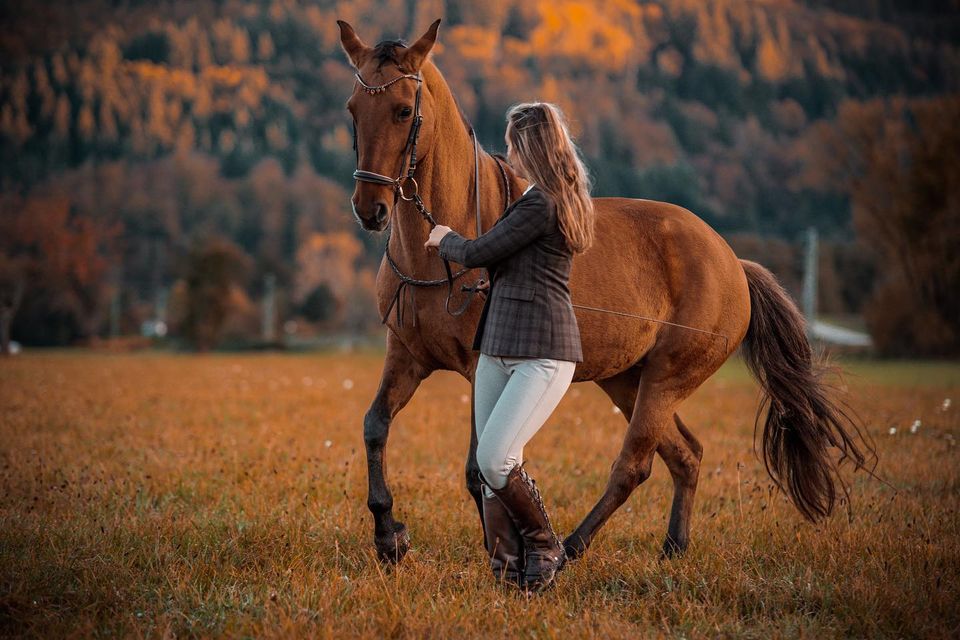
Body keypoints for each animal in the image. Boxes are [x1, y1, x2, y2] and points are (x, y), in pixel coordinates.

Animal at [340, 17, 876, 564]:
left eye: (404, 110)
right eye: (353, 109)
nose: (370, 209)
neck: (440, 251)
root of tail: (731, 262)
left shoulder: (478, 366)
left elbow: (477, 469)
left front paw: (495, 552)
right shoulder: (406, 354)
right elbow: (374, 427)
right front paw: (389, 536)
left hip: (664, 380)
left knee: (633, 465)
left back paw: (571, 547)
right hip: (627, 380)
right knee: (686, 454)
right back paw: (672, 547)